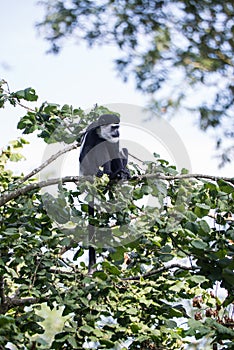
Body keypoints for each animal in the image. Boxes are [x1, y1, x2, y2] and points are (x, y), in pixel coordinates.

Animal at [79, 113, 131, 272]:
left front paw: (123, 172)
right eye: (114, 127)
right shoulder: (91, 132)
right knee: (99, 148)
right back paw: (106, 174)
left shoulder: (115, 140)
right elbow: (86, 151)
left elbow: (115, 151)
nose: (118, 132)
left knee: (117, 150)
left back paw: (118, 174)